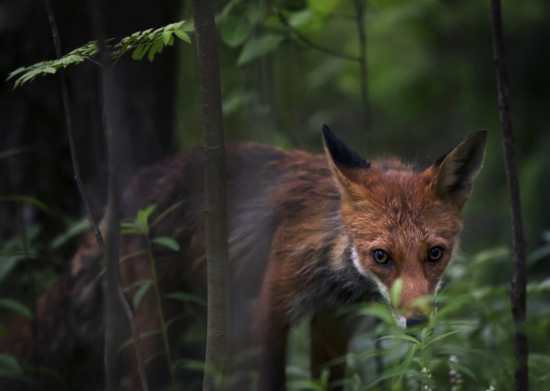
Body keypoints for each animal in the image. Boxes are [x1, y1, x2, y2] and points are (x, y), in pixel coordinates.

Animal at [0, 126, 488, 391]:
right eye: (381, 256)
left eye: (435, 254)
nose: (417, 321)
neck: (332, 264)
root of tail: (129, 193)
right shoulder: (270, 309)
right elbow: (271, 379)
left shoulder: (333, 323)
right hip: (156, 323)